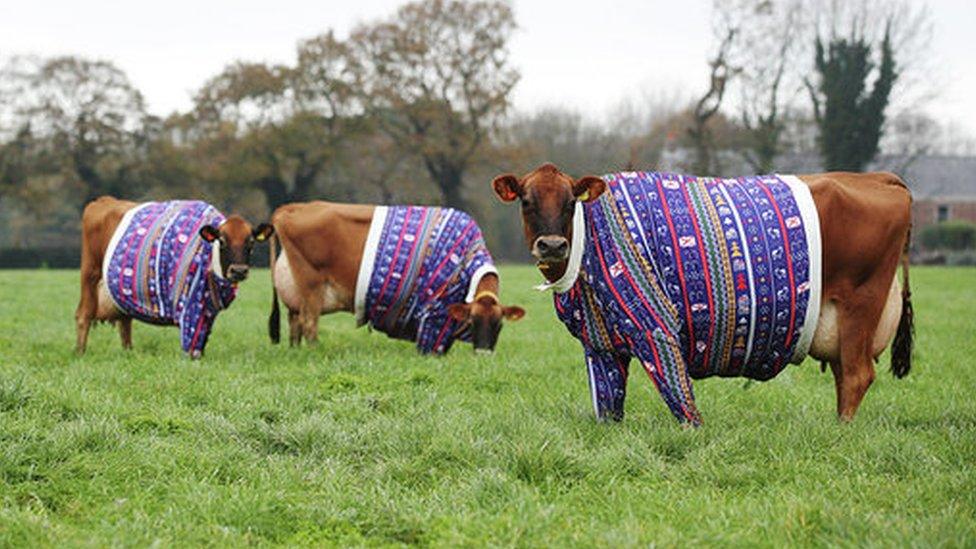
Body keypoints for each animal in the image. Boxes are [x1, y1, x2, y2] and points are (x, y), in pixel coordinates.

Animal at [75, 195, 270, 358]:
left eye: (251, 242)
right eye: (221, 241)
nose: (239, 270)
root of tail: (103, 200)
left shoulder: (208, 309)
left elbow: (203, 336)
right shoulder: (190, 303)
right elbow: (191, 340)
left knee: (125, 321)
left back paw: (129, 352)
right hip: (90, 272)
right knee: (84, 314)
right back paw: (80, 353)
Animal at [264, 203, 528, 354]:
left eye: (499, 324)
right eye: (472, 322)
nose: (483, 354)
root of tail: (291, 208)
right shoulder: (434, 314)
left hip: (298, 295)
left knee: (295, 325)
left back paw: (296, 351)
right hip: (311, 286)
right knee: (309, 324)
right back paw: (315, 352)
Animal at [496, 164, 916, 428]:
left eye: (571, 201)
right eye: (526, 201)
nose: (552, 245)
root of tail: (882, 179)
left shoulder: (655, 324)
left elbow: (679, 394)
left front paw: (694, 431)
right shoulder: (600, 344)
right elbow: (608, 406)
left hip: (861, 303)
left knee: (858, 375)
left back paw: (841, 432)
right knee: (846, 374)